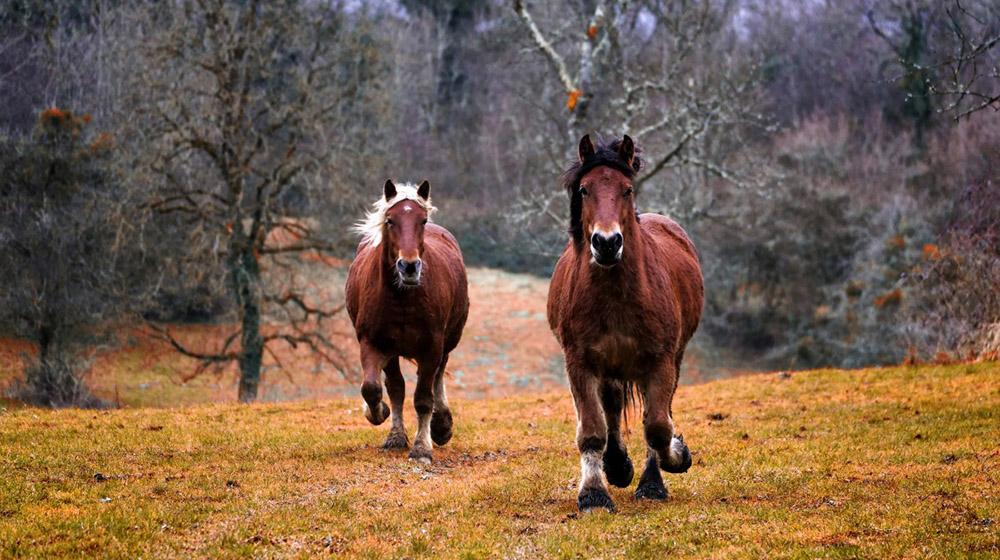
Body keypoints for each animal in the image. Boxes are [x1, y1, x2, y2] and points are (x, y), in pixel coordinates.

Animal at [346, 180, 470, 464]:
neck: (402, 297)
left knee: (437, 377)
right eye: (390, 220)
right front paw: (380, 415)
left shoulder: (432, 346)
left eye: (422, 220)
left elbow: (423, 398)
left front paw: (422, 447)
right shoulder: (373, 343)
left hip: (447, 342)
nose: (409, 267)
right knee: (396, 387)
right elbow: (374, 388)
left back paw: (441, 425)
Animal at [548, 136, 704, 512]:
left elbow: (658, 426)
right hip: (610, 367)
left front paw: (674, 460)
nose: (607, 243)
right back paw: (617, 465)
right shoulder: (580, 363)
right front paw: (594, 493)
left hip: (669, 360)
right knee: (612, 409)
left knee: (653, 413)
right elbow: (592, 430)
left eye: (627, 189)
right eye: (585, 190)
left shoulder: (661, 361)